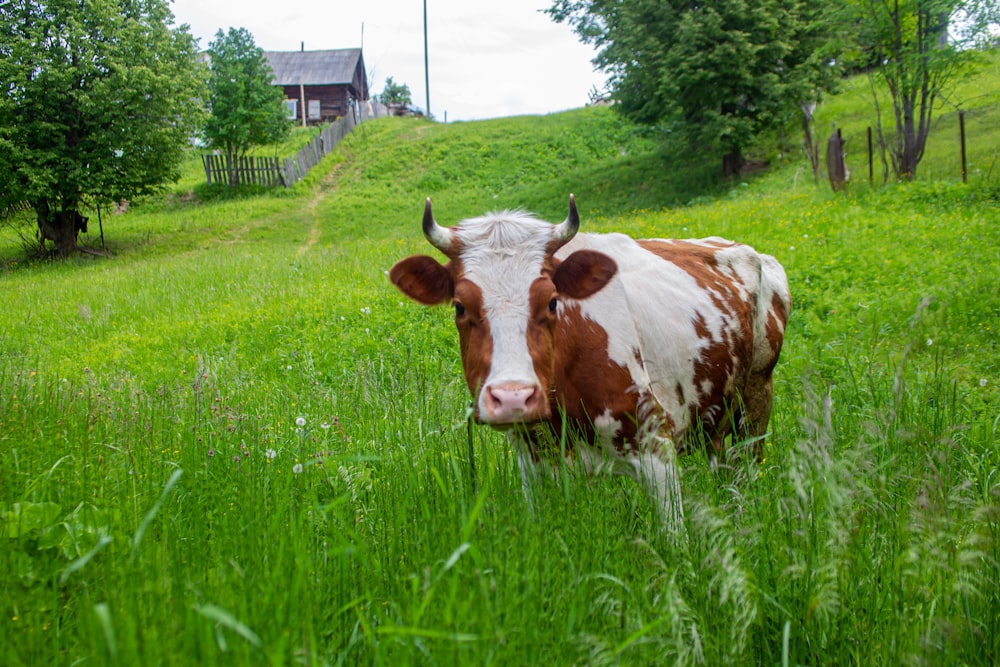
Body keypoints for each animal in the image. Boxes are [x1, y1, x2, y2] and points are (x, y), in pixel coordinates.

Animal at [390, 196, 788, 528]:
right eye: (459, 307)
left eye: (552, 301)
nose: (513, 398)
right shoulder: (531, 462)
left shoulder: (655, 442)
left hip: (757, 395)